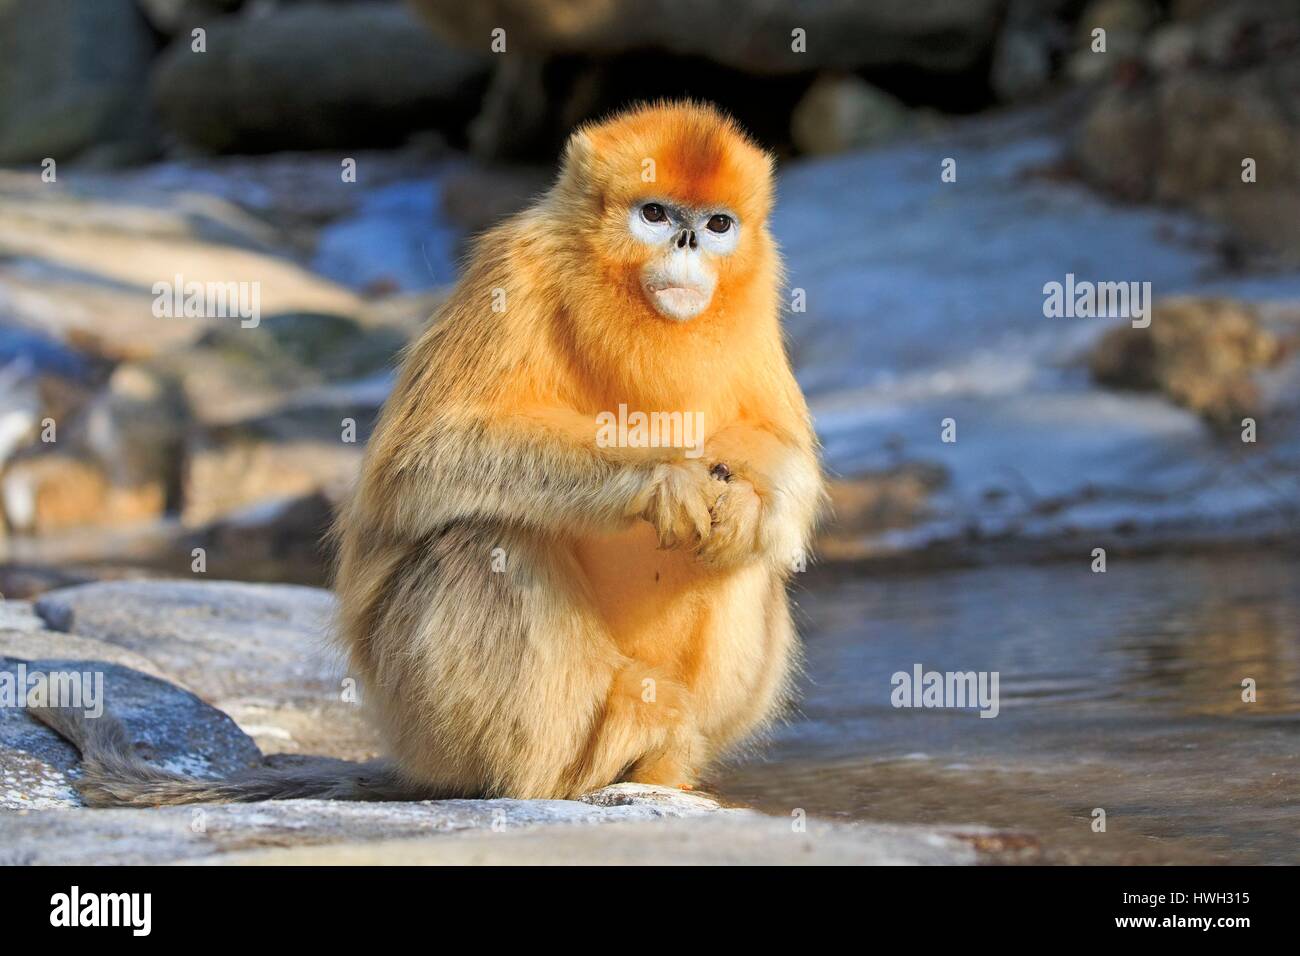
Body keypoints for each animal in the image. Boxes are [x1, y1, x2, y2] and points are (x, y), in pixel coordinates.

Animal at [33, 100, 827, 806]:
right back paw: (571, 765)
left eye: (718, 224)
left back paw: (661, 757)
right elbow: (425, 462)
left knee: (745, 553)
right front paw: (664, 477)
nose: (688, 244)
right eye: (655, 214)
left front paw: (736, 497)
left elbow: (782, 471)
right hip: (425, 718)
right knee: (482, 538)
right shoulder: (516, 271)